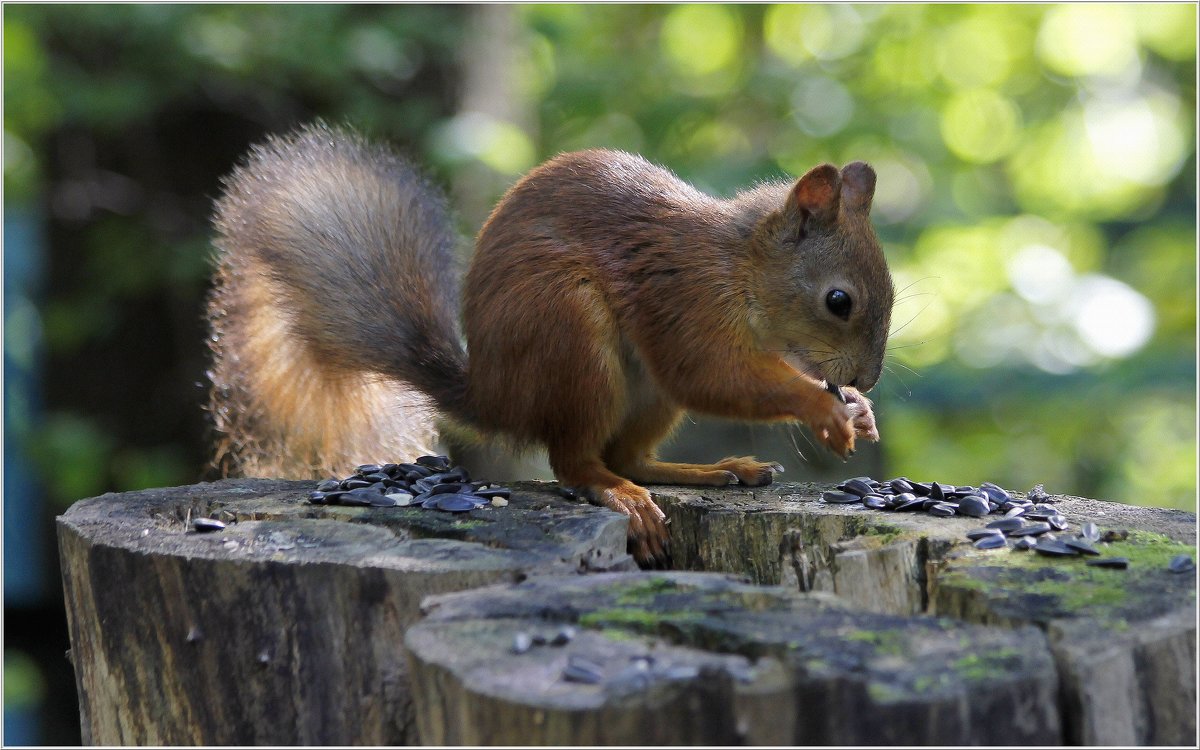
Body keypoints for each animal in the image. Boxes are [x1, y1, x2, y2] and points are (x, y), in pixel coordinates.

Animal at [206, 124, 892, 566]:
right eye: (839, 301)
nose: (866, 380)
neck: (738, 266)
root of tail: (496, 396)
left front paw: (858, 411)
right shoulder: (684, 302)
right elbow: (711, 375)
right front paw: (826, 408)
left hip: (641, 394)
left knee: (627, 453)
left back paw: (715, 470)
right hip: (570, 333)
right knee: (577, 461)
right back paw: (624, 497)